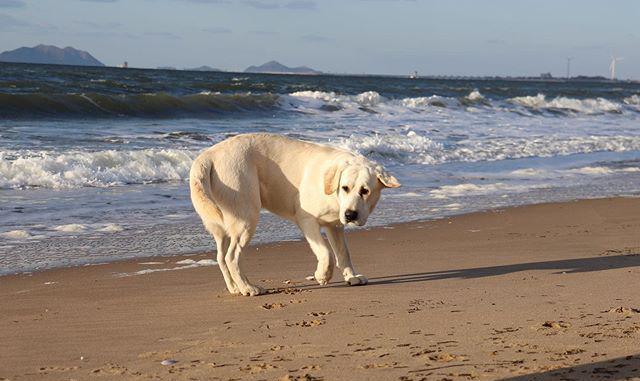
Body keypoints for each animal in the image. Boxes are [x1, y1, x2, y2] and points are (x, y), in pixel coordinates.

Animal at [190, 132, 400, 296]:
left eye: (365, 191)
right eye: (345, 188)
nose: (350, 215)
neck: (332, 191)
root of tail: (208, 155)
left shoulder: (334, 225)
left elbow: (343, 252)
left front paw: (351, 276)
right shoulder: (306, 220)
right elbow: (326, 252)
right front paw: (322, 275)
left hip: (223, 226)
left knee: (220, 257)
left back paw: (235, 288)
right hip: (246, 218)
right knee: (231, 257)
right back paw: (248, 288)